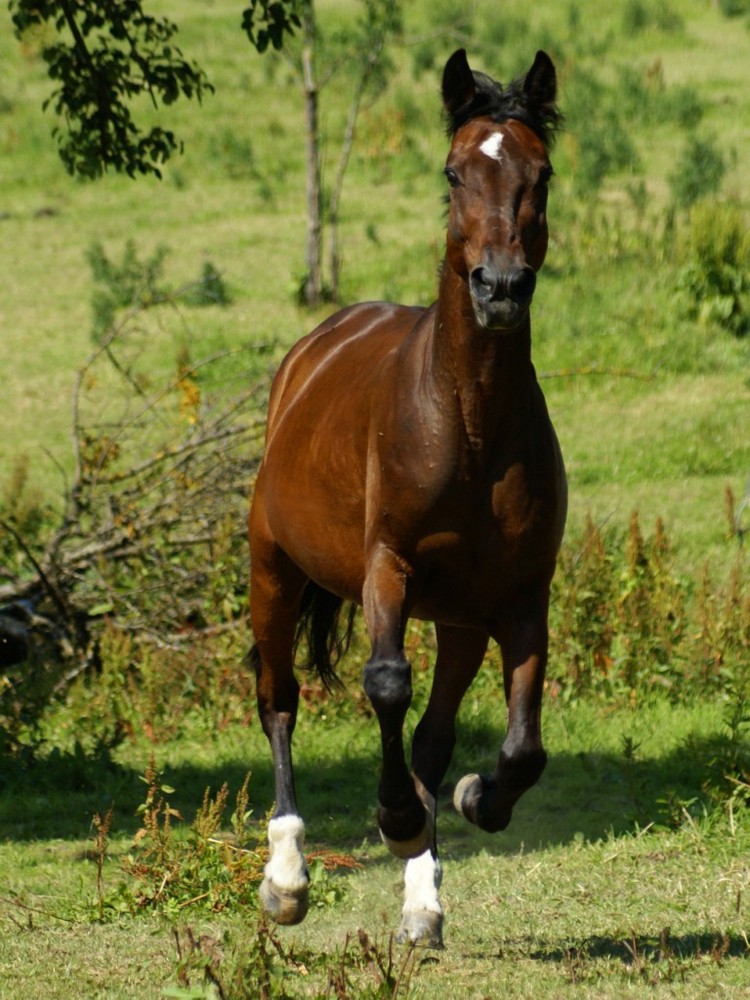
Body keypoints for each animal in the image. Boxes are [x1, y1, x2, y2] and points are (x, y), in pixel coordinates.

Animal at [250, 47, 568, 948]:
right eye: (455, 171)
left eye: (542, 173)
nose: (500, 288)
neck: (469, 429)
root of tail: (315, 346)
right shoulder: (385, 569)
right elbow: (386, 682)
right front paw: (394, 819)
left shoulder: (520, 596)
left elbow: (519, 748)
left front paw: (471, 801)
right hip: (274, 573)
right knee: (279, 700)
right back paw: (287, 878)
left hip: (458, 619)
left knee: (430, 736)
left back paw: (422, 900)